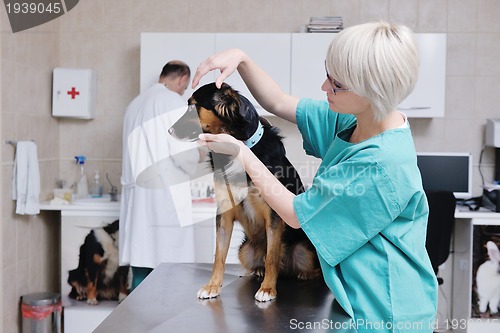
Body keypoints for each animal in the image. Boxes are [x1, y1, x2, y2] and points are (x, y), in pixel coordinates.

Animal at [170, 82, 320, 300]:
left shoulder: (274, 214)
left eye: (193, 106)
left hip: (305, 249)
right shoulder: (224, 211)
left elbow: (272, 256)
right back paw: (258, 271)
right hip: (245, 251)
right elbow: (219, 255)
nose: (169, 130)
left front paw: (267, 289)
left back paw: (303, 274)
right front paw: (212, 286)